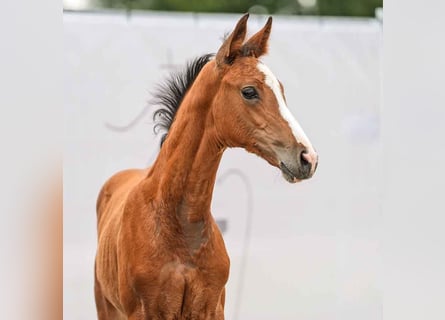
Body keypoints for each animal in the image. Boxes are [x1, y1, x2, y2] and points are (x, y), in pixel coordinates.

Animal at [93, 13, 318, 318]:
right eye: (249, 91)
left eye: (281, 91)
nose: (308, 158)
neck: (179, 224)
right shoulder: (143, 311)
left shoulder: (212, 308)